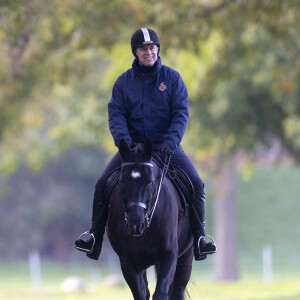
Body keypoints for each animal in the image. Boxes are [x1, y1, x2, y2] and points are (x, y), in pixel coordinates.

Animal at [106, 139, 193, 300]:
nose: (135, 224)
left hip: (186, 256)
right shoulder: (128, 263)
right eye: (122, 181)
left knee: (178, 290)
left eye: (149, 181)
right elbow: (140, 294)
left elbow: (160, 294)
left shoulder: (168, 256)